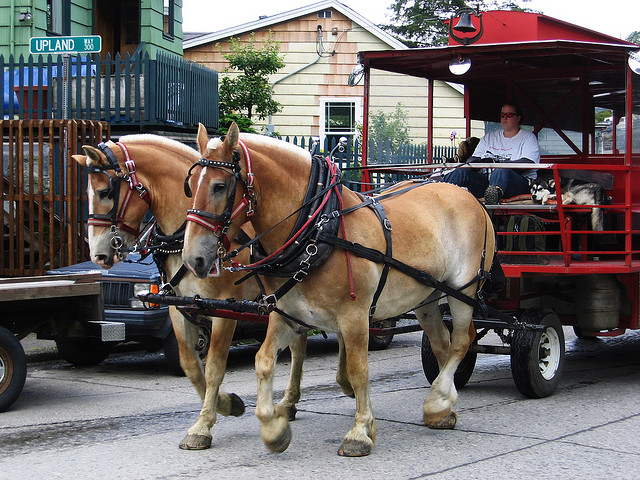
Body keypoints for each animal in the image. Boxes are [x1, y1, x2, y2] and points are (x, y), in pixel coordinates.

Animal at [72, 135, 307, 451]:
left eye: (106, 191)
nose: (98, 255)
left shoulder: (224, 310)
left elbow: (214, 367)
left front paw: (203, 426)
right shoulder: (179, 307)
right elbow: (190, 365)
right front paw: (227, 404)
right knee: (298, 346)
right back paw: (290, 402)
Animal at [181, 122, 496, 457]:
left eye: (219, 186)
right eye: (190, 186)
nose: (193, 258)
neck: (317, 229)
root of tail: (469, 197)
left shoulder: (354, 317)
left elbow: (359, 370)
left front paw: (359, 432)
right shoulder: (288, 316)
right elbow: (263, 361)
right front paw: (274, 428)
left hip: (464, 289)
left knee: (461, 341)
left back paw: (437, 401)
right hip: (426, 297)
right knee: (441, 344)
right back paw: (444, 406)